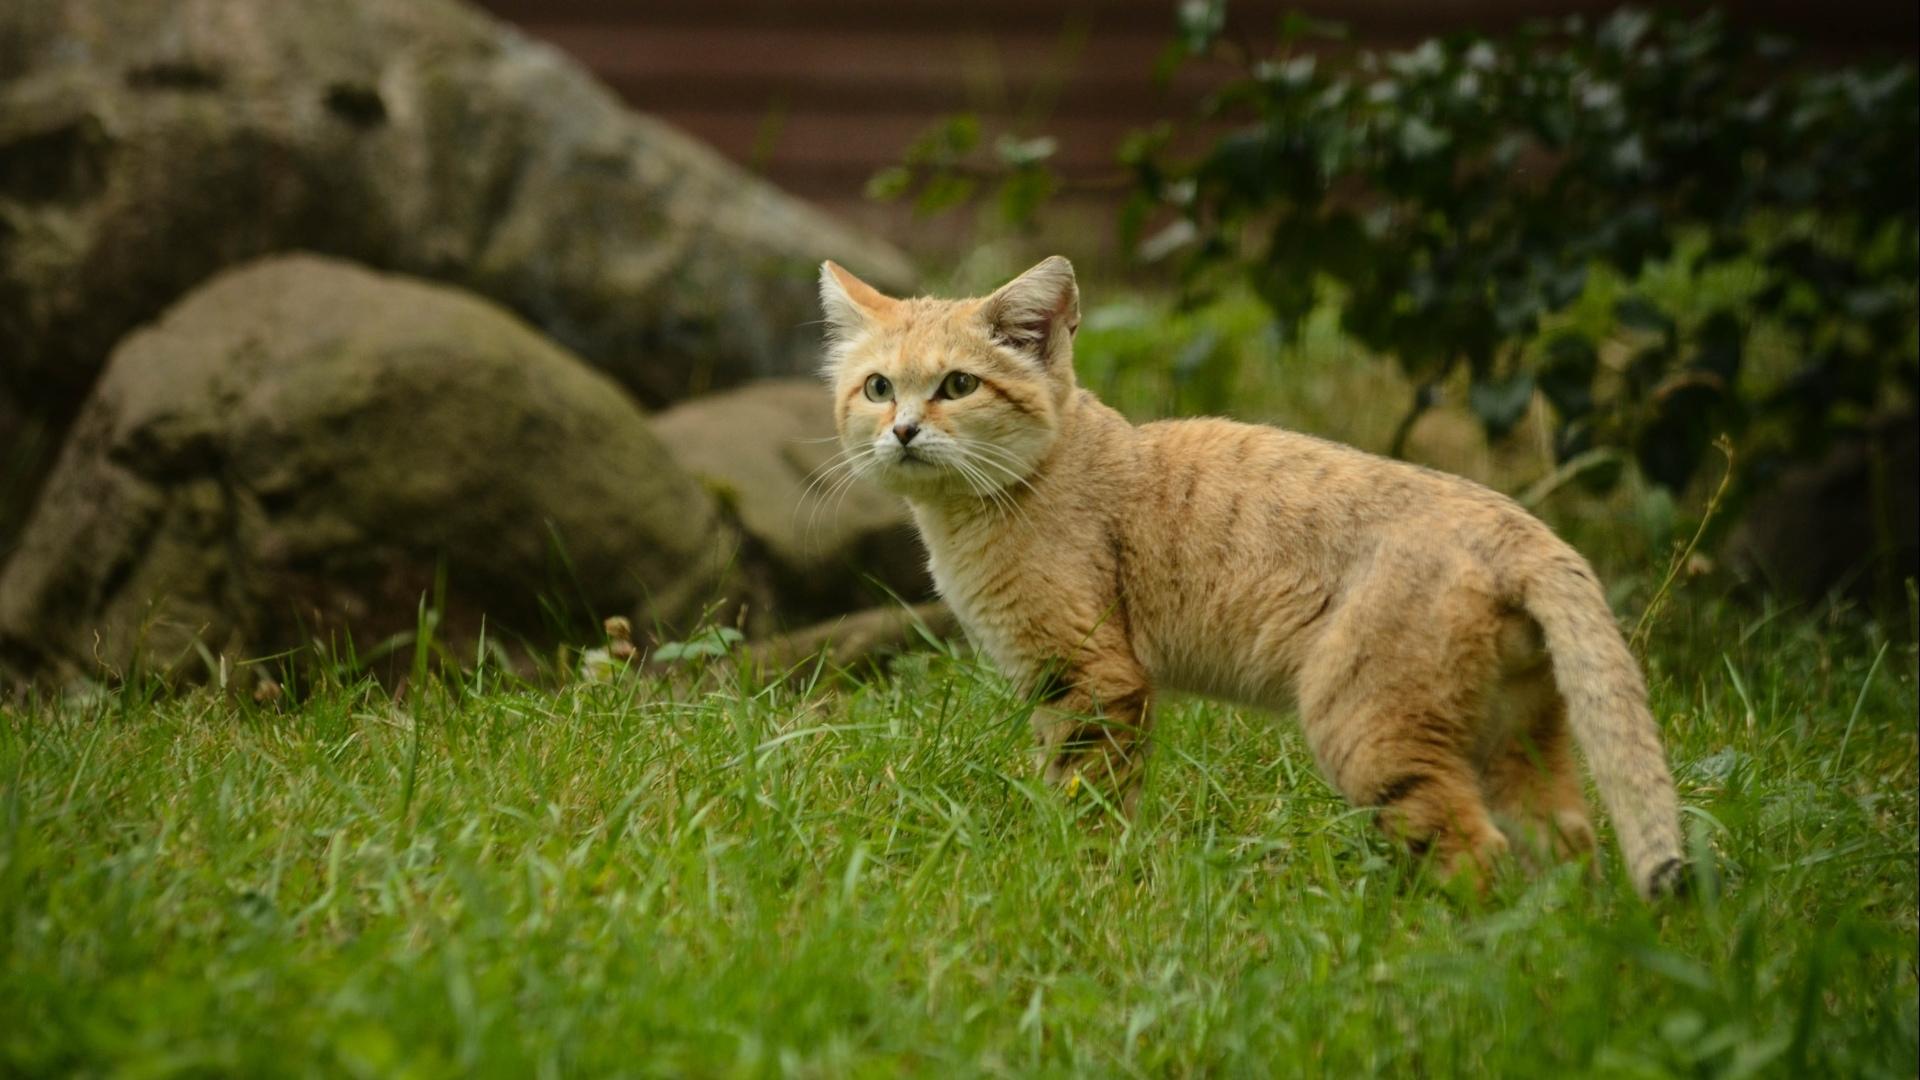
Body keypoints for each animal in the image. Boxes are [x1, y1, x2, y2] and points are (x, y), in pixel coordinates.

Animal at [817, 253, 1689, 899]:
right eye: (878, 387)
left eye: (959, 385)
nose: (902, 431)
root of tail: (1524, 530)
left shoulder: (1093, 677)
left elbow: (1087, 796)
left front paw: (1074, 871)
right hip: (1515, 735)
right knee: (1566, 848)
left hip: (1368, 728)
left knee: (1476, 855)